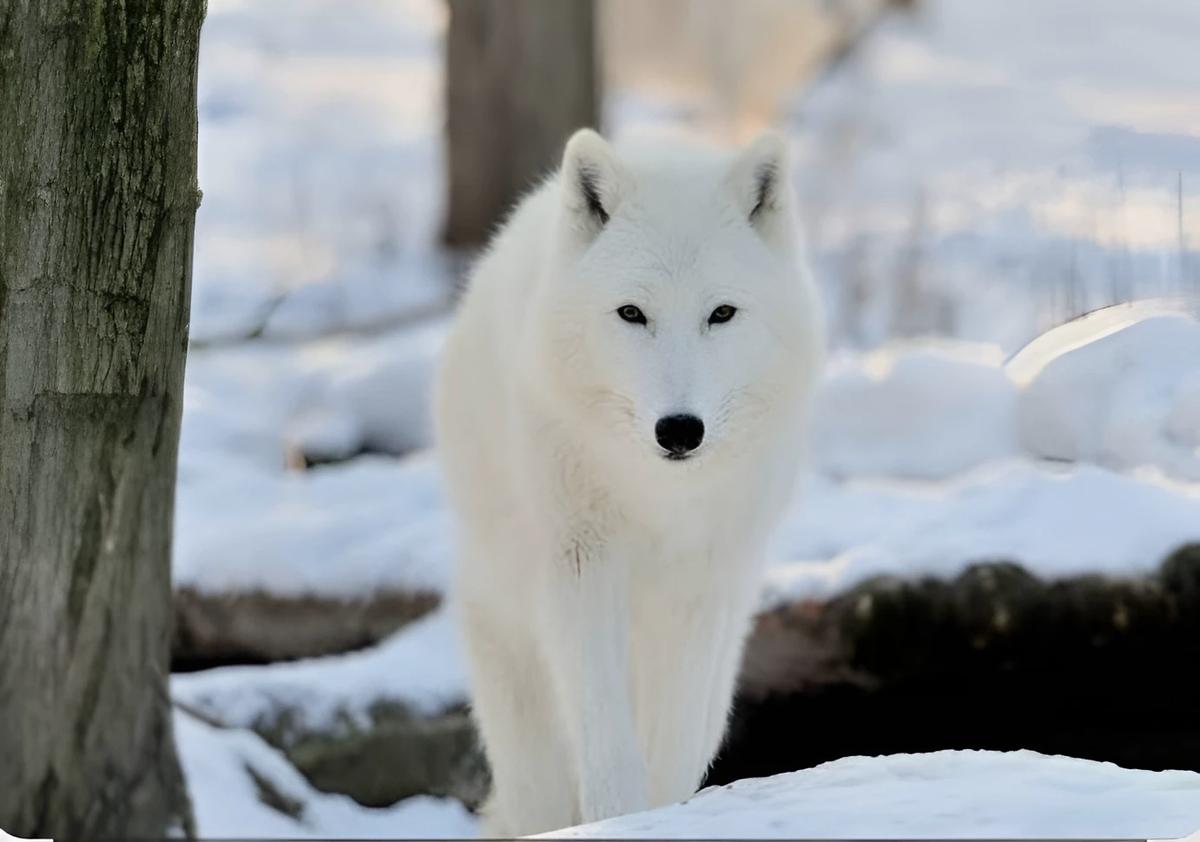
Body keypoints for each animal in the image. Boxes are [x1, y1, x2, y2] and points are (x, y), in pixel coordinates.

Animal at [434, 128, 825, 836]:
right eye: (632, 313)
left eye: (721, 313)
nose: (680, 430)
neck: (655, 496)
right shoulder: (579, 570)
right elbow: (608, 745)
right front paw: (617, 819)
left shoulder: (699, 585)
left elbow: (671, 744)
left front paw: (666, 816)